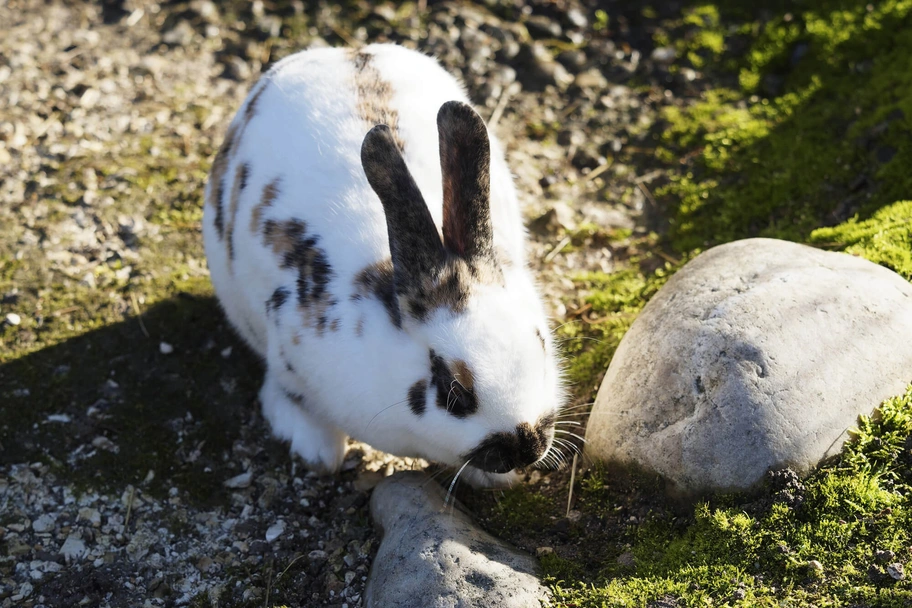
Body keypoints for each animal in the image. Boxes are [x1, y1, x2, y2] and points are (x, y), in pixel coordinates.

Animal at [202, 43, 565, 487]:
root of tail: (344, 51)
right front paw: (316, 450)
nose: (525, 446)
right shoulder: (285, 347)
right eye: (453, 391)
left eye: (541, 343)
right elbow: (285, 395)